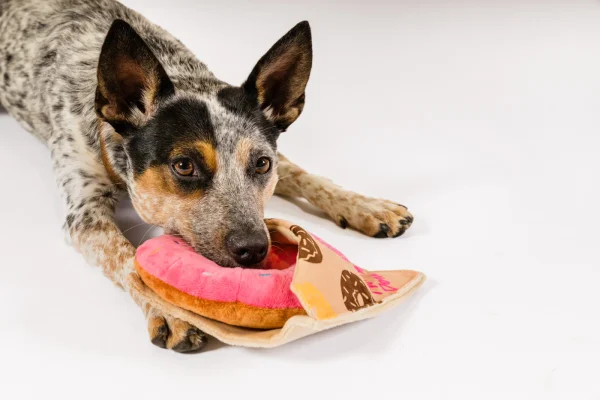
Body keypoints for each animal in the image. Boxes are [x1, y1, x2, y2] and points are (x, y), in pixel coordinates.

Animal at [0, 0, 412, 350]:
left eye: (262, 164)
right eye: (184, 165)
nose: (254, 249)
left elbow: (305, 174)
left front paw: (366, 206)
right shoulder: (85, 214)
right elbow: (128, 260)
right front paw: (170, 312)